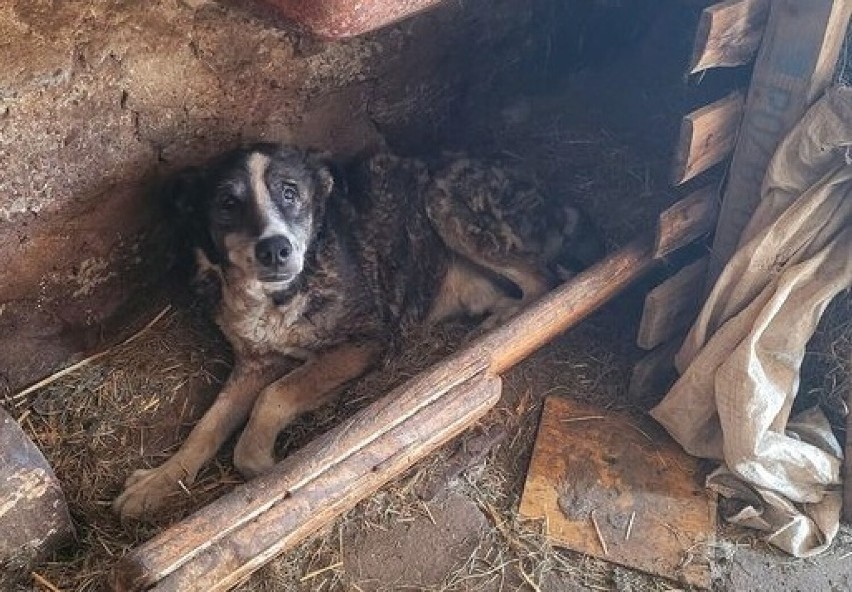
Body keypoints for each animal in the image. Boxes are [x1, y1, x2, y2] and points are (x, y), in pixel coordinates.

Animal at [113, 142, 604, 520]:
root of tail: (554, 198)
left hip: (444, 198)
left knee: (544, 279)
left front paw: (263, 464)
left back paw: (508, 322)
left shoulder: (365, 341)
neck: (280, 296)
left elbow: (276, 396)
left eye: (290, 193)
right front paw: (158, 482)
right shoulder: (254, 363)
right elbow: (207, 427)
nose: (275, 249)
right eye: (227, 204)